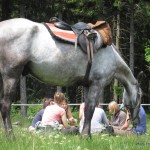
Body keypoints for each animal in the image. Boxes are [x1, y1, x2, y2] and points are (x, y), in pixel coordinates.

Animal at [0, 18, 141, 137]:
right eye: (140, 96)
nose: (136, 120)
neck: (112, 56)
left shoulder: (88, 85)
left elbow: (87, 110)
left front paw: (86, 134)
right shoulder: (97, 83)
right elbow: (90, 110)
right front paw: (85, 136)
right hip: (11, 75)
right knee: (6, 105)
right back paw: (11, 137)